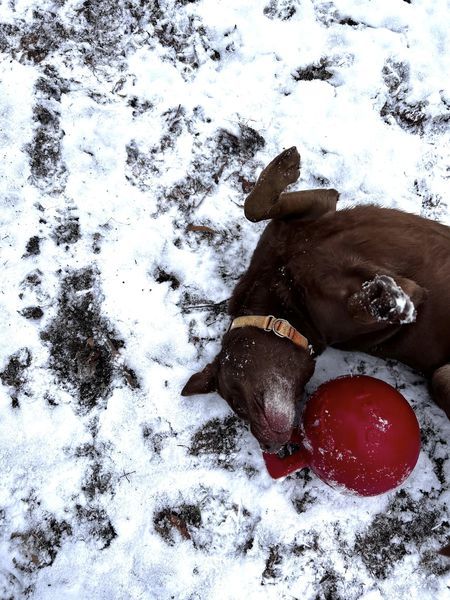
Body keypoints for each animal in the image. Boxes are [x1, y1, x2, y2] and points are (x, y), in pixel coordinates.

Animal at [181, 148, 448, 452]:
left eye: (237, 403)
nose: (268, 447)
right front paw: (385, 298)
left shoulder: (318, 207)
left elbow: (254, 208)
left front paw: (284, 165)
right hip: (441, 377)